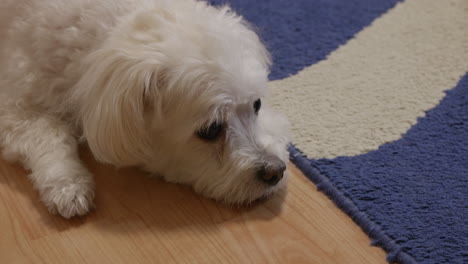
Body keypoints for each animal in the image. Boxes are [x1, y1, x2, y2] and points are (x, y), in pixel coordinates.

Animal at [0, 0, 290, 219]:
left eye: (256, 104)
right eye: (211, 130)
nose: (275, 171)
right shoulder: (14, 105)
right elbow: (50, 134)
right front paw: (68, 184)